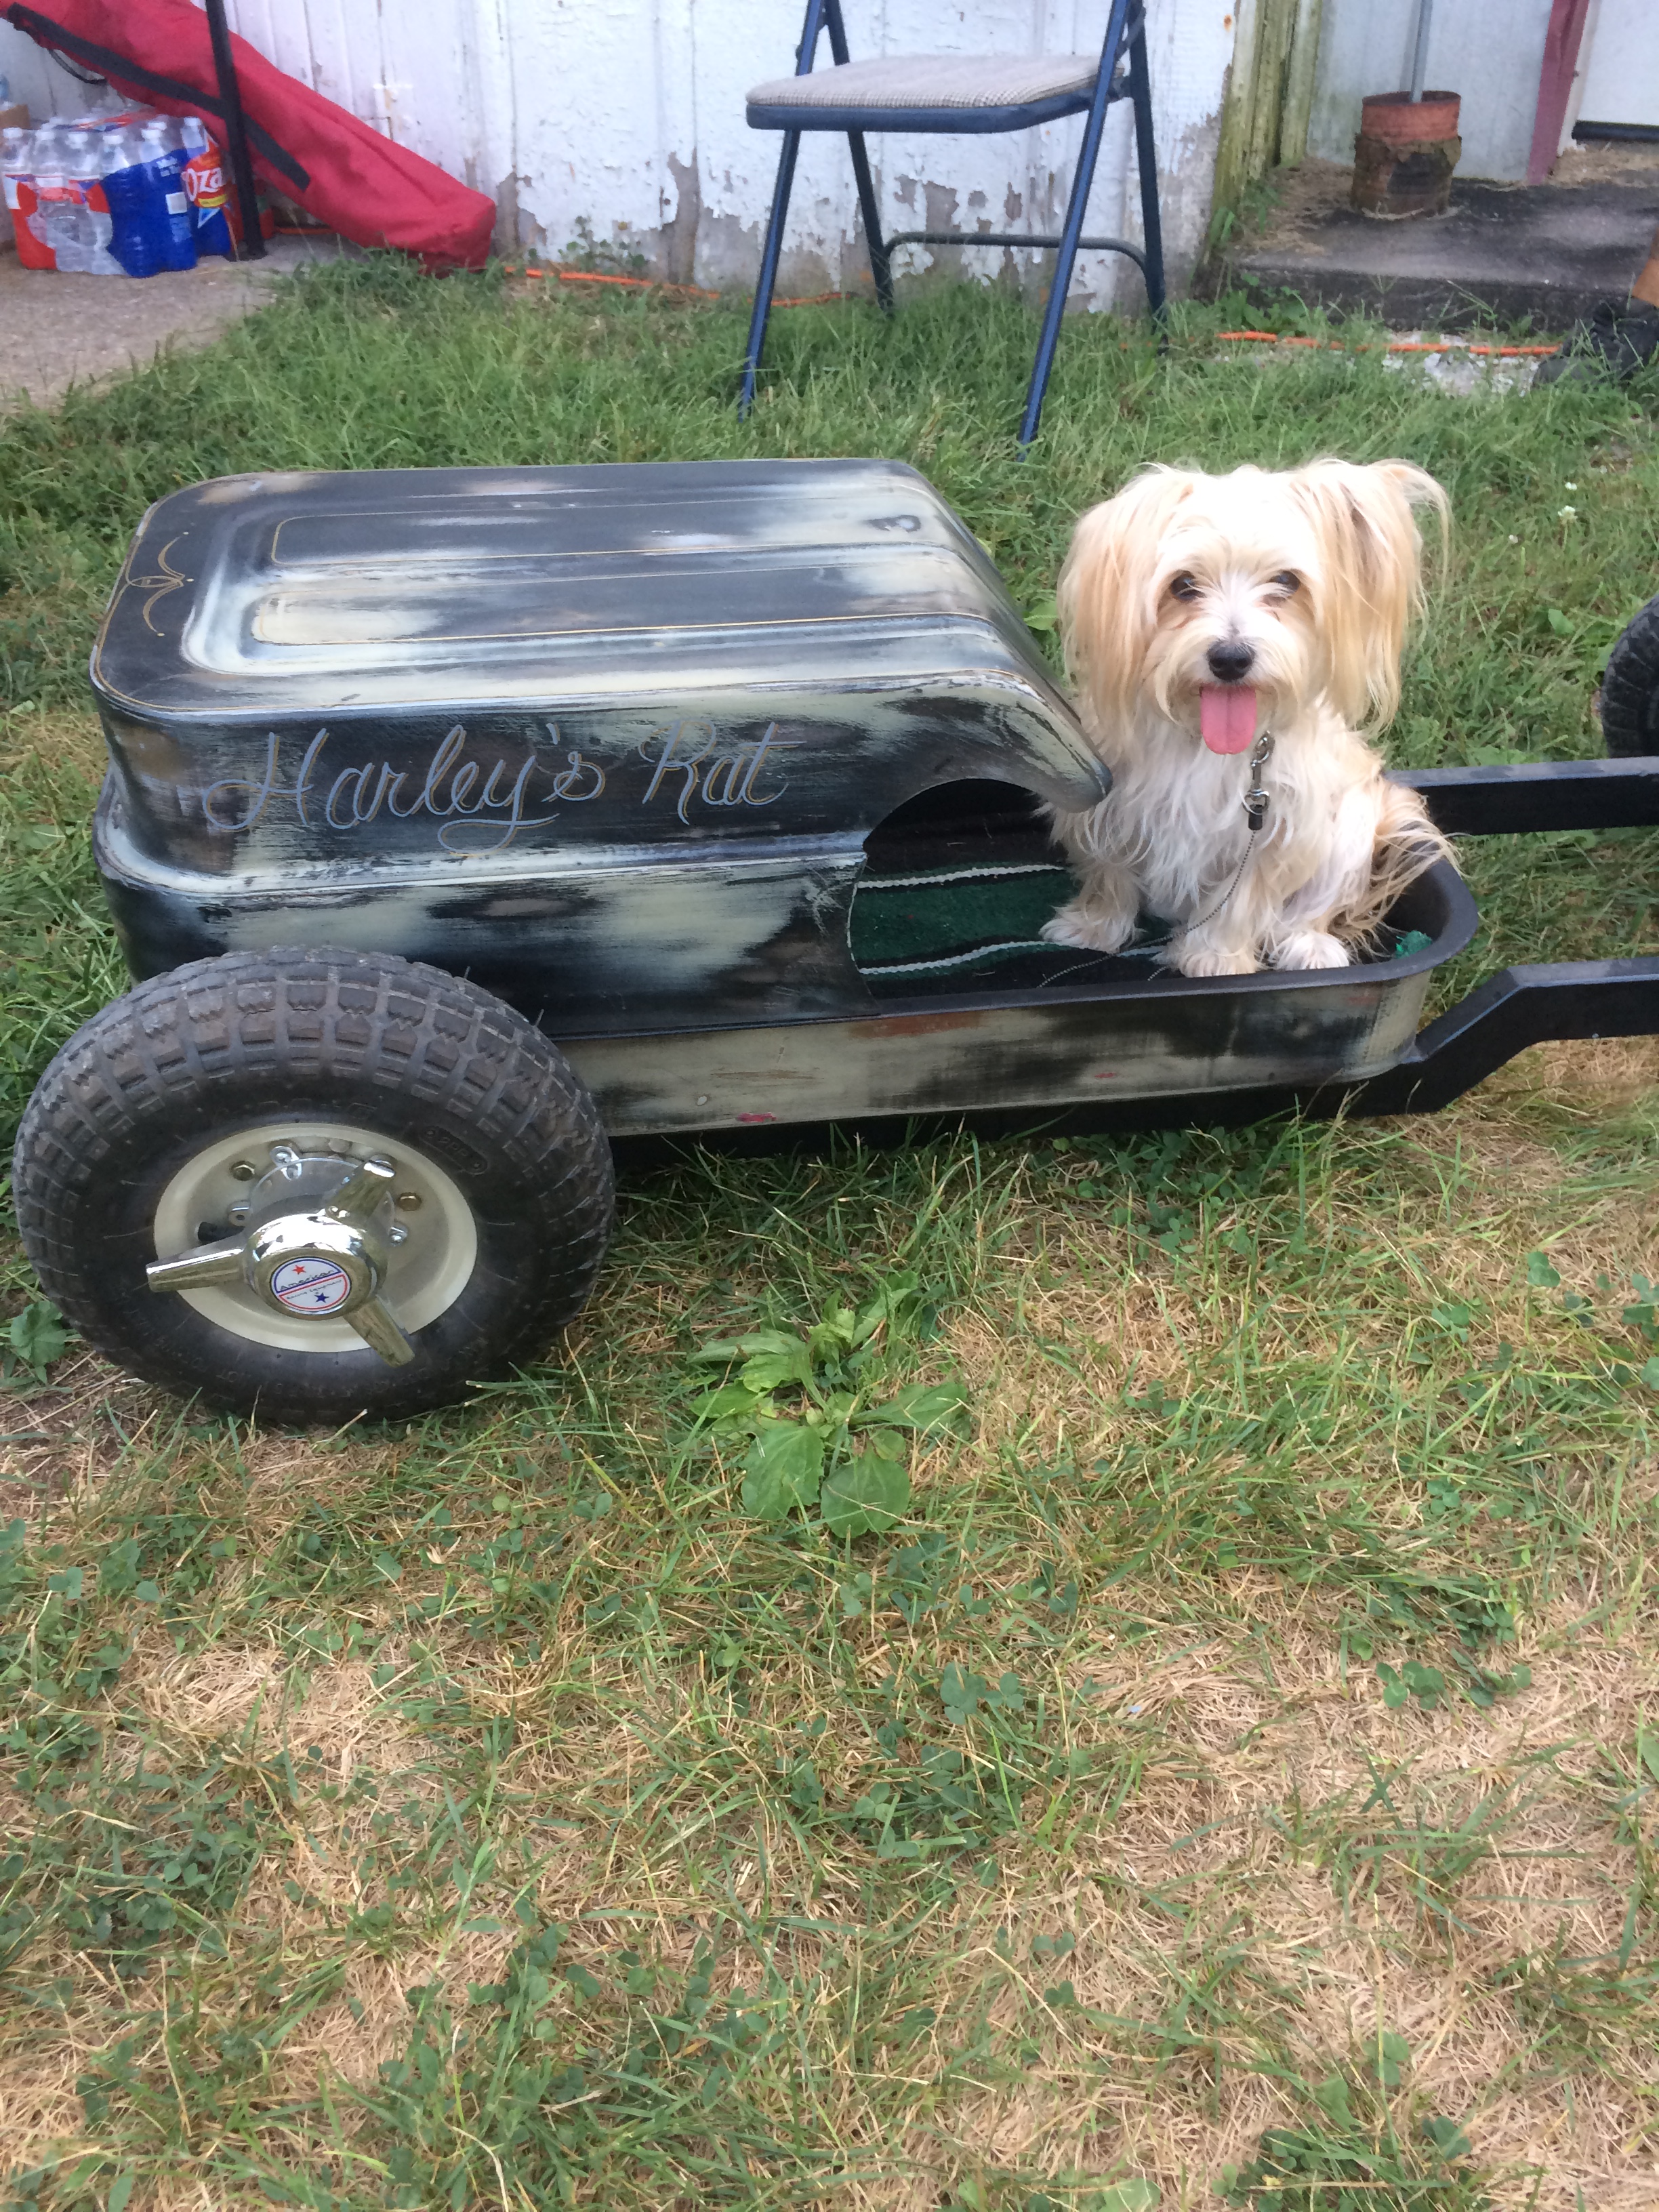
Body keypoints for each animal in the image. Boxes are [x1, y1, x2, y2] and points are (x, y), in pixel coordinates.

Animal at [1041, 459, 1452, 978]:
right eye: (1183, 585)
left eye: (1288, 582)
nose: (1231, 658)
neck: (1205, 743)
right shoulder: (1107, 806)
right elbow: (1109, 874)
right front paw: (1094, 929)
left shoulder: (1277, 830)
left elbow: (1242, 901)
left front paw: (1214, 958)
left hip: (1353, 825)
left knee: (1314, 908)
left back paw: (1309, 945)